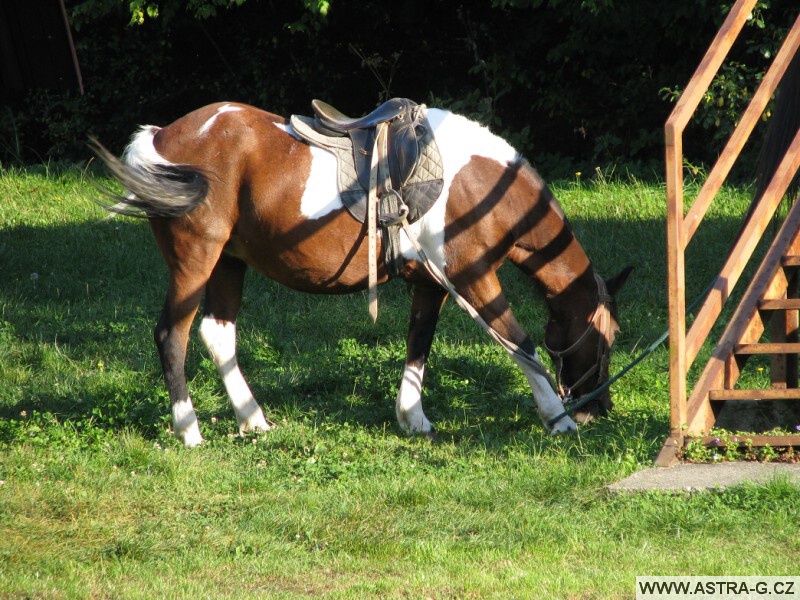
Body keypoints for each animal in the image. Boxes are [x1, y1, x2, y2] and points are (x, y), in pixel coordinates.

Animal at [92, 99, 632, 446]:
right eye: (604, 337)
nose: (599, 408)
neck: (480, 188)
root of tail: (162, 137)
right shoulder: (474, 278)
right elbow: (521, 344)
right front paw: (558, 419)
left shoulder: (431, 286)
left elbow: (419, 345)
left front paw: (412, 418)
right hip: (197, 258)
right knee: (173, 334)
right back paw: (189, 431)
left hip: (228, 261)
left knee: (217, 332)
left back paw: (253, 420)